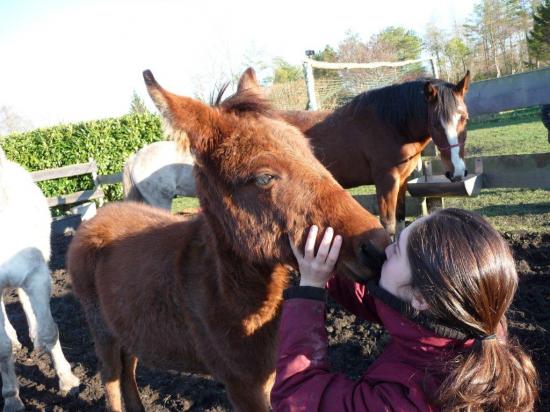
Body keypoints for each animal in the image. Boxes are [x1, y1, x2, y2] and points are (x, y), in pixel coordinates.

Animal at [0, 146, 80, 410]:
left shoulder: (38, 276)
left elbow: (50, 330)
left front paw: (68, 381)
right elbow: (2, 348)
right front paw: (12, 398)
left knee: (25, 301)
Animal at [68, 71, 388, 412]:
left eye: (311, 155)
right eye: (264, 177)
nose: (377, 247)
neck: (226, 293)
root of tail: (97, 217)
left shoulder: (268, 373)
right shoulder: (243, 386)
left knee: (128, 369)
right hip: (102, 332)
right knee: (112, 377)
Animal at [239, 67, 472, 235]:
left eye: (465, 118)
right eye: (435, 123)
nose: (457, 172)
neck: (392, 125)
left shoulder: (402, 180)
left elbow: (400, 220)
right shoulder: (386, 181)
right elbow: (388, 225)